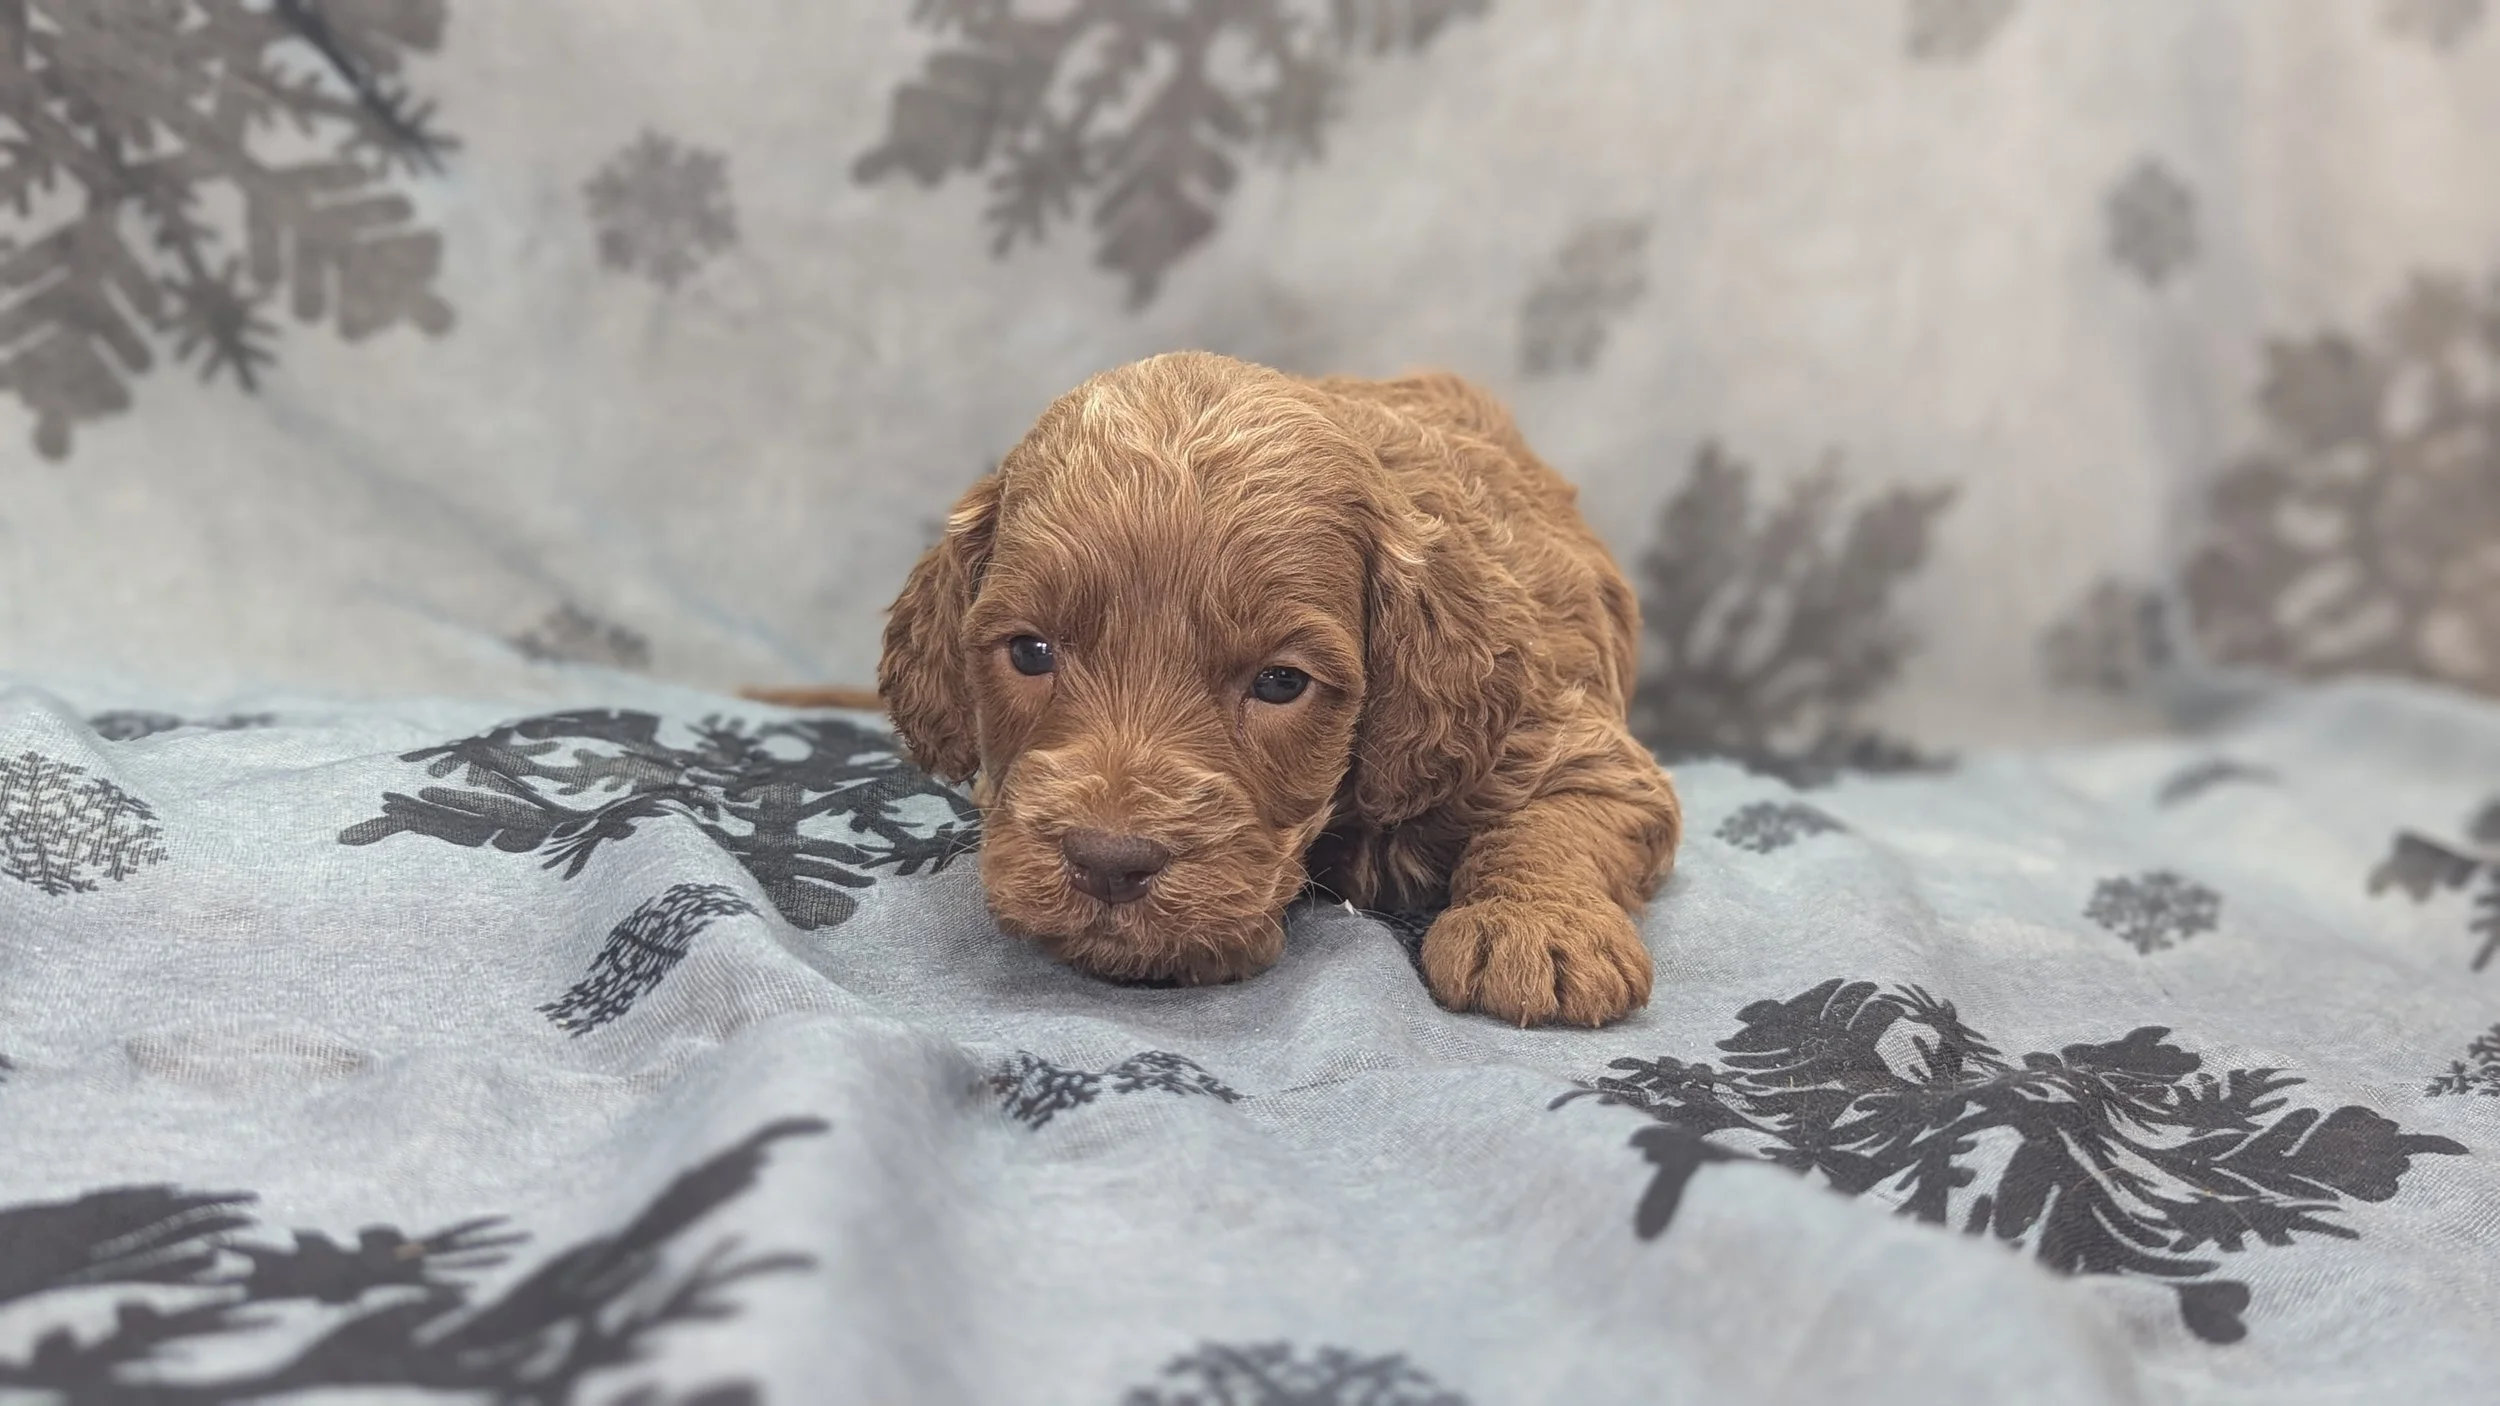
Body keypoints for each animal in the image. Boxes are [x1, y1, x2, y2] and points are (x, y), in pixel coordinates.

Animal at [759, 352, 1681, 1026]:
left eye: (1280, 682)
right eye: (1029, 651)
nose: (1108, 863)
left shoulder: (1565, 739)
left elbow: (1556, 823)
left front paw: (1537, 931)